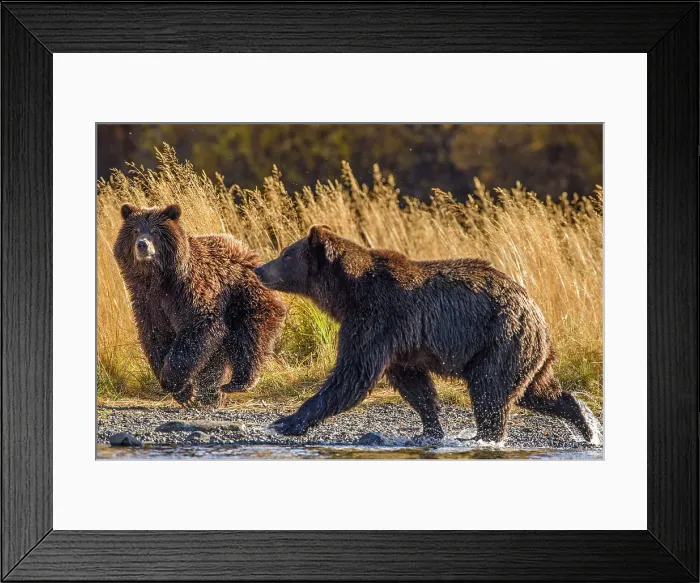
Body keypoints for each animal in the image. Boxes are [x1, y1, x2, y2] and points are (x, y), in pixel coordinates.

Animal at [114, 203, 286, 407]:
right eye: (135, 230)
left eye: (155, 232)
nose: (142, 245)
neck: (157, 279)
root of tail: (247, 251)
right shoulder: (147, 301)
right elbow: (155, 336)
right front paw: (186, 393)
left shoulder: (189, 291)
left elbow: (197, 329)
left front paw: (173, 381)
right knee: (216, 356)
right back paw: (212, 395)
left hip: (245, 298)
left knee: (249, 339)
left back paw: (238, 382)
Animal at [254, 225, 596, 444]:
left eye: (286, 254)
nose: (259, 269)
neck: (347, 294)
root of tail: (535, 310)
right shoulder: (399, 341)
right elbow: (414, 383)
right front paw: (429, 428)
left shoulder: (377, 318)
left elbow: (353, 374)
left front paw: (285, 422)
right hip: (525, 351)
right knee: (538, 391)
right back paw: (585, 424)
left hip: (500, 339)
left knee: (490, 390)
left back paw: (484, 436)